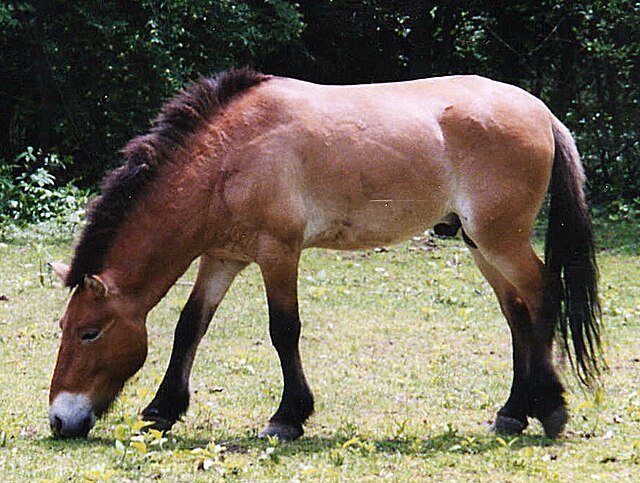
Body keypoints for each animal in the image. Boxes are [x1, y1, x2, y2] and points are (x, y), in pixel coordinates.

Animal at [48, 68, 602, 440]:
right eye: (65, 328)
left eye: (89, 332)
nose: (59, 419)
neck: (228, 155)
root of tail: (543, 114)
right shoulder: (222, 257)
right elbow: (191, 326)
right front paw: (163, 410)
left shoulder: (278, 252)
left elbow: (283, 330)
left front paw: (287, 417)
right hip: (479, 243)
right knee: (517, 314)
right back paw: (513, 412)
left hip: (500, 240)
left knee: (543, 295)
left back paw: (550, 407)